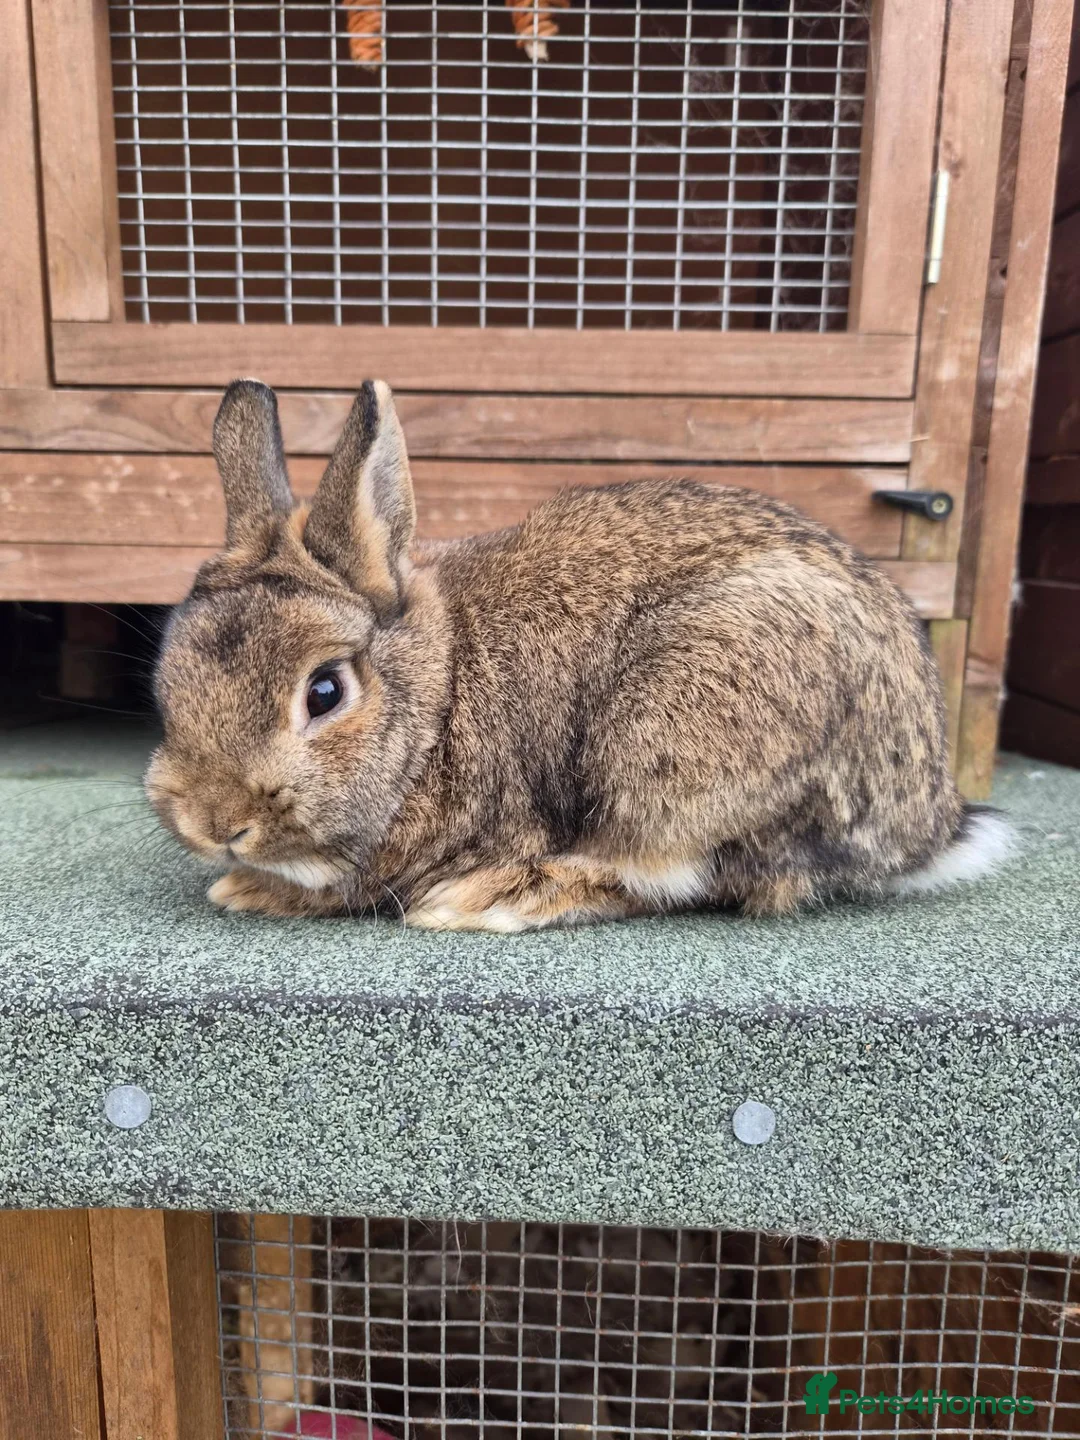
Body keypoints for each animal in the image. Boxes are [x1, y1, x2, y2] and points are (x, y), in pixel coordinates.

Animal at [145, 378, 1014, 932]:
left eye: (324, 692)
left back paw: (495, 900)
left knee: (683, 876)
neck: (439, 699)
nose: (216, 825)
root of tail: (928, 817)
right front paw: (242, 887)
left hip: (674, 754)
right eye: (170, 682)